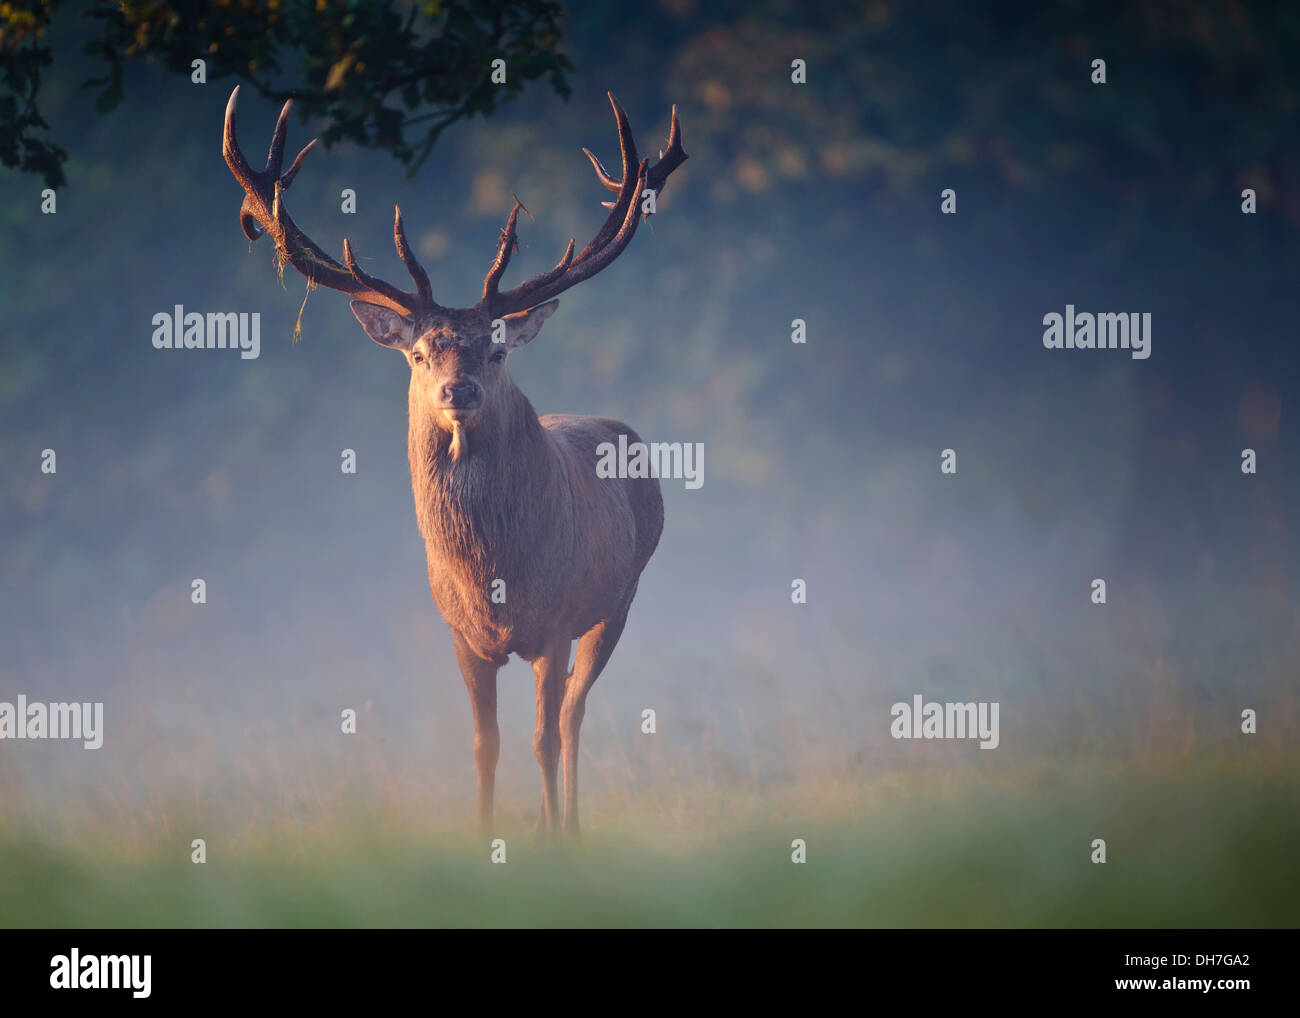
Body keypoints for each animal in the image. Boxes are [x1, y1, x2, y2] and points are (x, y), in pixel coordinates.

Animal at [222, 86, 685, 838]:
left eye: (495, 350)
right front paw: (484, 835)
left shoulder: (555, 623)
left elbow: (541, 737)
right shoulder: (461, 637)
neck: (493, 576)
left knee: (571, 714)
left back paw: (570, 824)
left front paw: (551, 841)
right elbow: (483, 743)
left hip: (618, 599)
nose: (458, 390)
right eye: (418, 354)